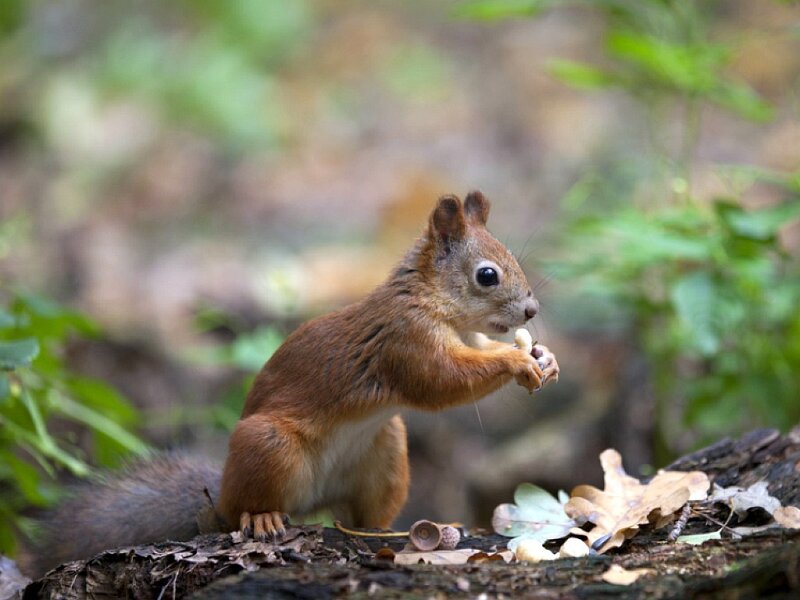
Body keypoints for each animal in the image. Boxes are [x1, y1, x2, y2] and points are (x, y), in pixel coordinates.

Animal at [20, 191, 558, 576]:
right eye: (486, 275)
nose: (532, 311)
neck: (429, 298)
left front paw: (544, 359)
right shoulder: (406, 341)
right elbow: (440, 381)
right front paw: (516, 361)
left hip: (385, 453)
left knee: (361, 514)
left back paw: (390, 531)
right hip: (269, 445)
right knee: (246, 509)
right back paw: (260, 518)